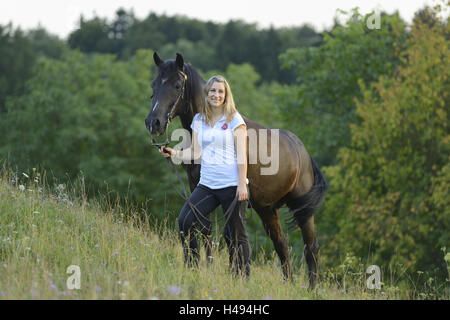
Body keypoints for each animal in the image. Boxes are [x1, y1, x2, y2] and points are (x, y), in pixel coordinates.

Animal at [146, 53, 328, 290]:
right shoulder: (199, 187)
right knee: (281, 243)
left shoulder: (233, 199)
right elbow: (205, 229)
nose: (154, 123)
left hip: (302, 209)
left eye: (177, 85)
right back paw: (288, 283)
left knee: (311, 247)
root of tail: (303, 152)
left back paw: (312, 289)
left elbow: (230, 237)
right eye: (154, 84)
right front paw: (208, 267)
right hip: (267, 209)